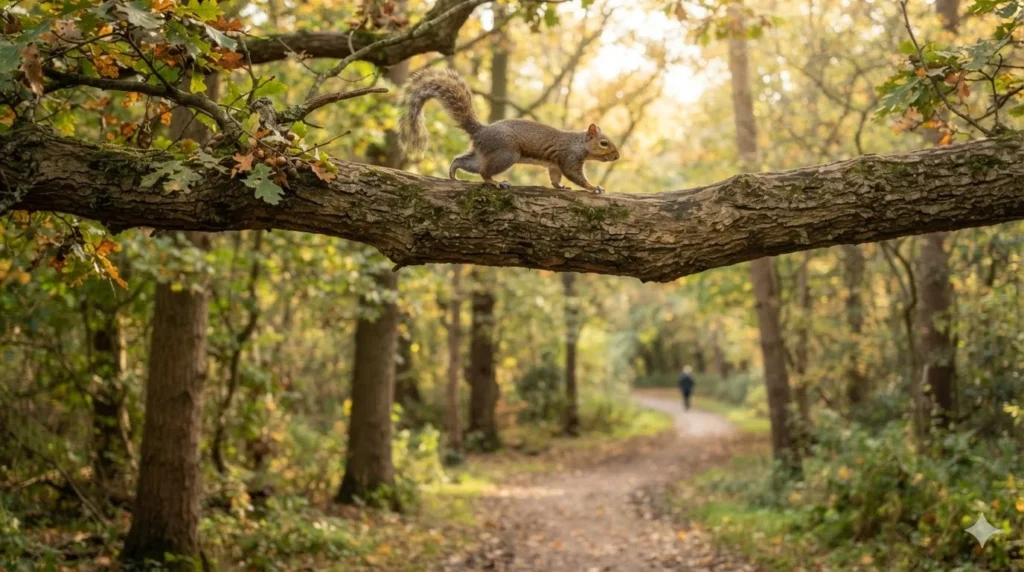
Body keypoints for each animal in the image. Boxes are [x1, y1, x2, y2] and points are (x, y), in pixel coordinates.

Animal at [399, 68, 620, 193]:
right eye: (604, 143)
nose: (617, 157)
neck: (578, 143)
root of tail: (481, 131)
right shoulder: (569, 158)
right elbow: (575, 175)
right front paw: (594, 187)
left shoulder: (555, 165)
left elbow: (555, 178)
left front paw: (561, 186)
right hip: (506, 154)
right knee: (484, 172)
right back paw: (496, 183)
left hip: (485, 154)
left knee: (464, 162)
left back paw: (454, 172)